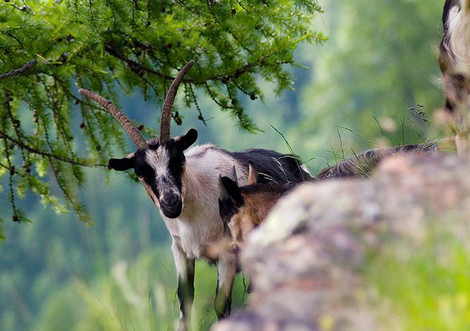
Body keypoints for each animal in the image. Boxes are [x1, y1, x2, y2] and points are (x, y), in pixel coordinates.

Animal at [78, 60, 310, 330]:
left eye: (179, 160)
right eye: (141, 173)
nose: (170, 202)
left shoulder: (227, 254)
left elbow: (221, 305)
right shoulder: (181, 251)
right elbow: (184, 302)